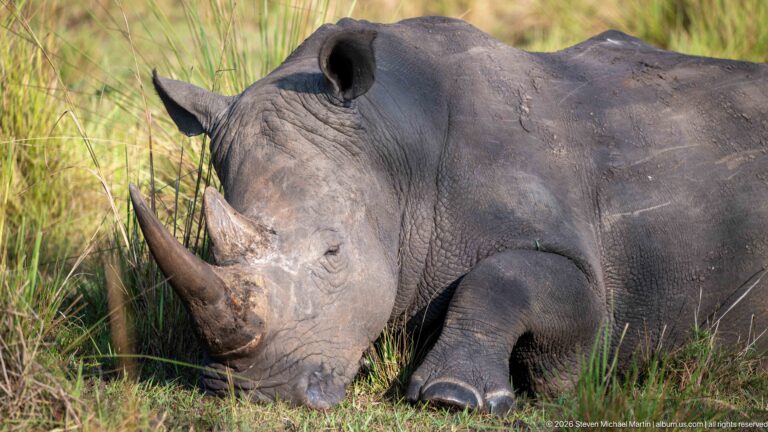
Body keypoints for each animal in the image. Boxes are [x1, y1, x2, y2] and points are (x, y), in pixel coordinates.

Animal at [129, 16, 768, 415]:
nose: (251, 392)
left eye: (333, 253)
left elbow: (515, 279)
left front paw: (453, 396)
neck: (392, 146)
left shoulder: (589, 263)